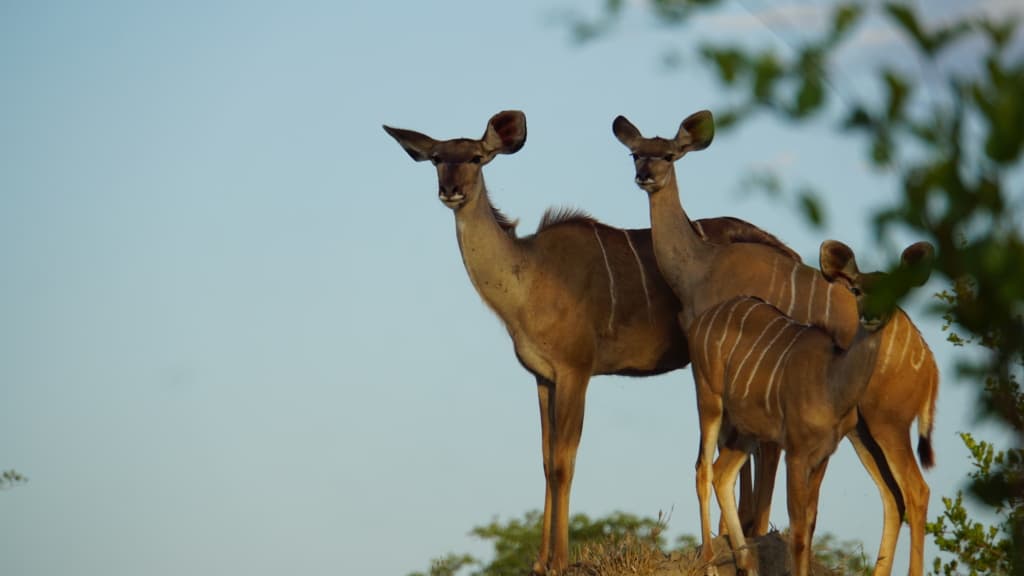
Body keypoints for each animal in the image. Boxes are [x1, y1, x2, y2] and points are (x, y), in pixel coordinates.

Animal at [385, 109, 798, 569]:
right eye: (438, 157)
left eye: (476, 157)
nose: (450, 190)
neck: (529, 277)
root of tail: (791, 253)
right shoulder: (542, 377)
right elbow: (546, 460)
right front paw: (540, 562)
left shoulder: (576, 370)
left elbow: (565, 462)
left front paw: (560, 561)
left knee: (768, 445)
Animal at [688, 238, 937, 573]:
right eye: (856, 289)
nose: (871, 316)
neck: (831, 382)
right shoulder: (795, 451)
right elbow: (797, 526)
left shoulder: (823, 453)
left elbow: (808, 521)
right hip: (710, 400)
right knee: (703, 470)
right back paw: (711, 563)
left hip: (750, 430)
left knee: (721, 473)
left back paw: (747, 563)